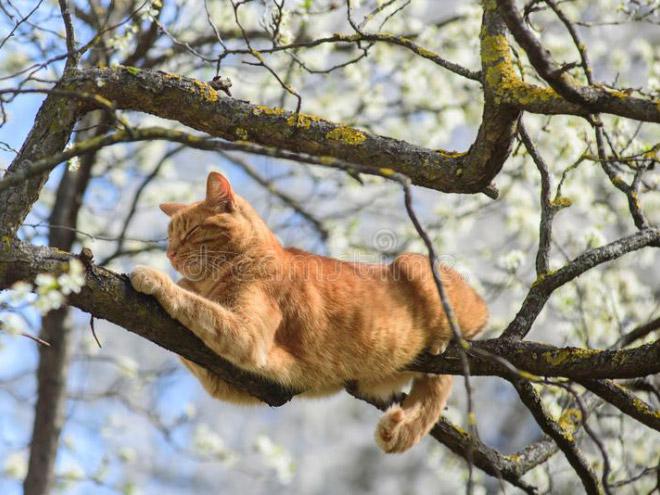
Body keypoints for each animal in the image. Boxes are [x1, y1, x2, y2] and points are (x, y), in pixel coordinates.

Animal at [130, 171, 490, 454]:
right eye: (169, 237)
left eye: (190, 232)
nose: (170, 254)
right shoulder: (225, 382)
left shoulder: (248, 337)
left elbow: (194, 305)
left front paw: (152, 277)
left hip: (413, 264)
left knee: (471, 332)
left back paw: (443, 341)